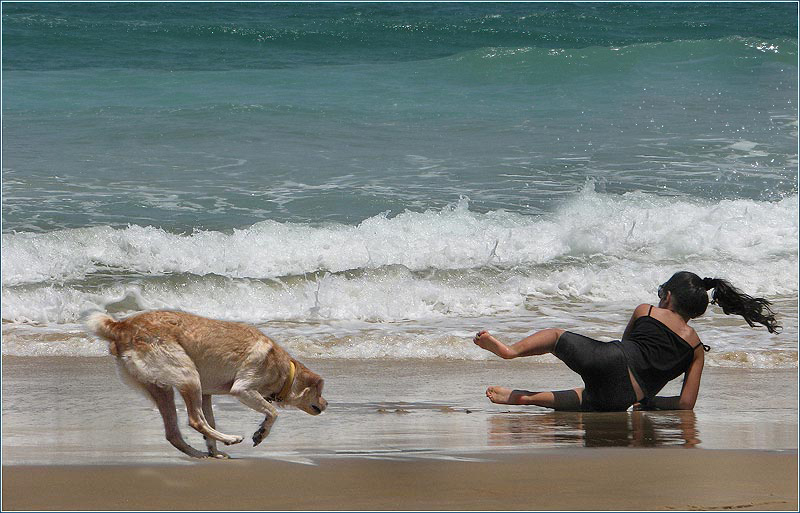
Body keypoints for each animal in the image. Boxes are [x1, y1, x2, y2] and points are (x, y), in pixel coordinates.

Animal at [86, 310, 324, 458]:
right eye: (320, 391)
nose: (326, 404)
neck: (285, 370)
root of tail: (121, 326)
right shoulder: (243, 390)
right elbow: (273, 413)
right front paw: (261, 433)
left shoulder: (207, 395)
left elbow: (212, 423)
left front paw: (213, 450)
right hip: (189, 376)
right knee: (195, 420)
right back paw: (231, 438)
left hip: (164, 388)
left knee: (174, 433)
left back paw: (201, 455)